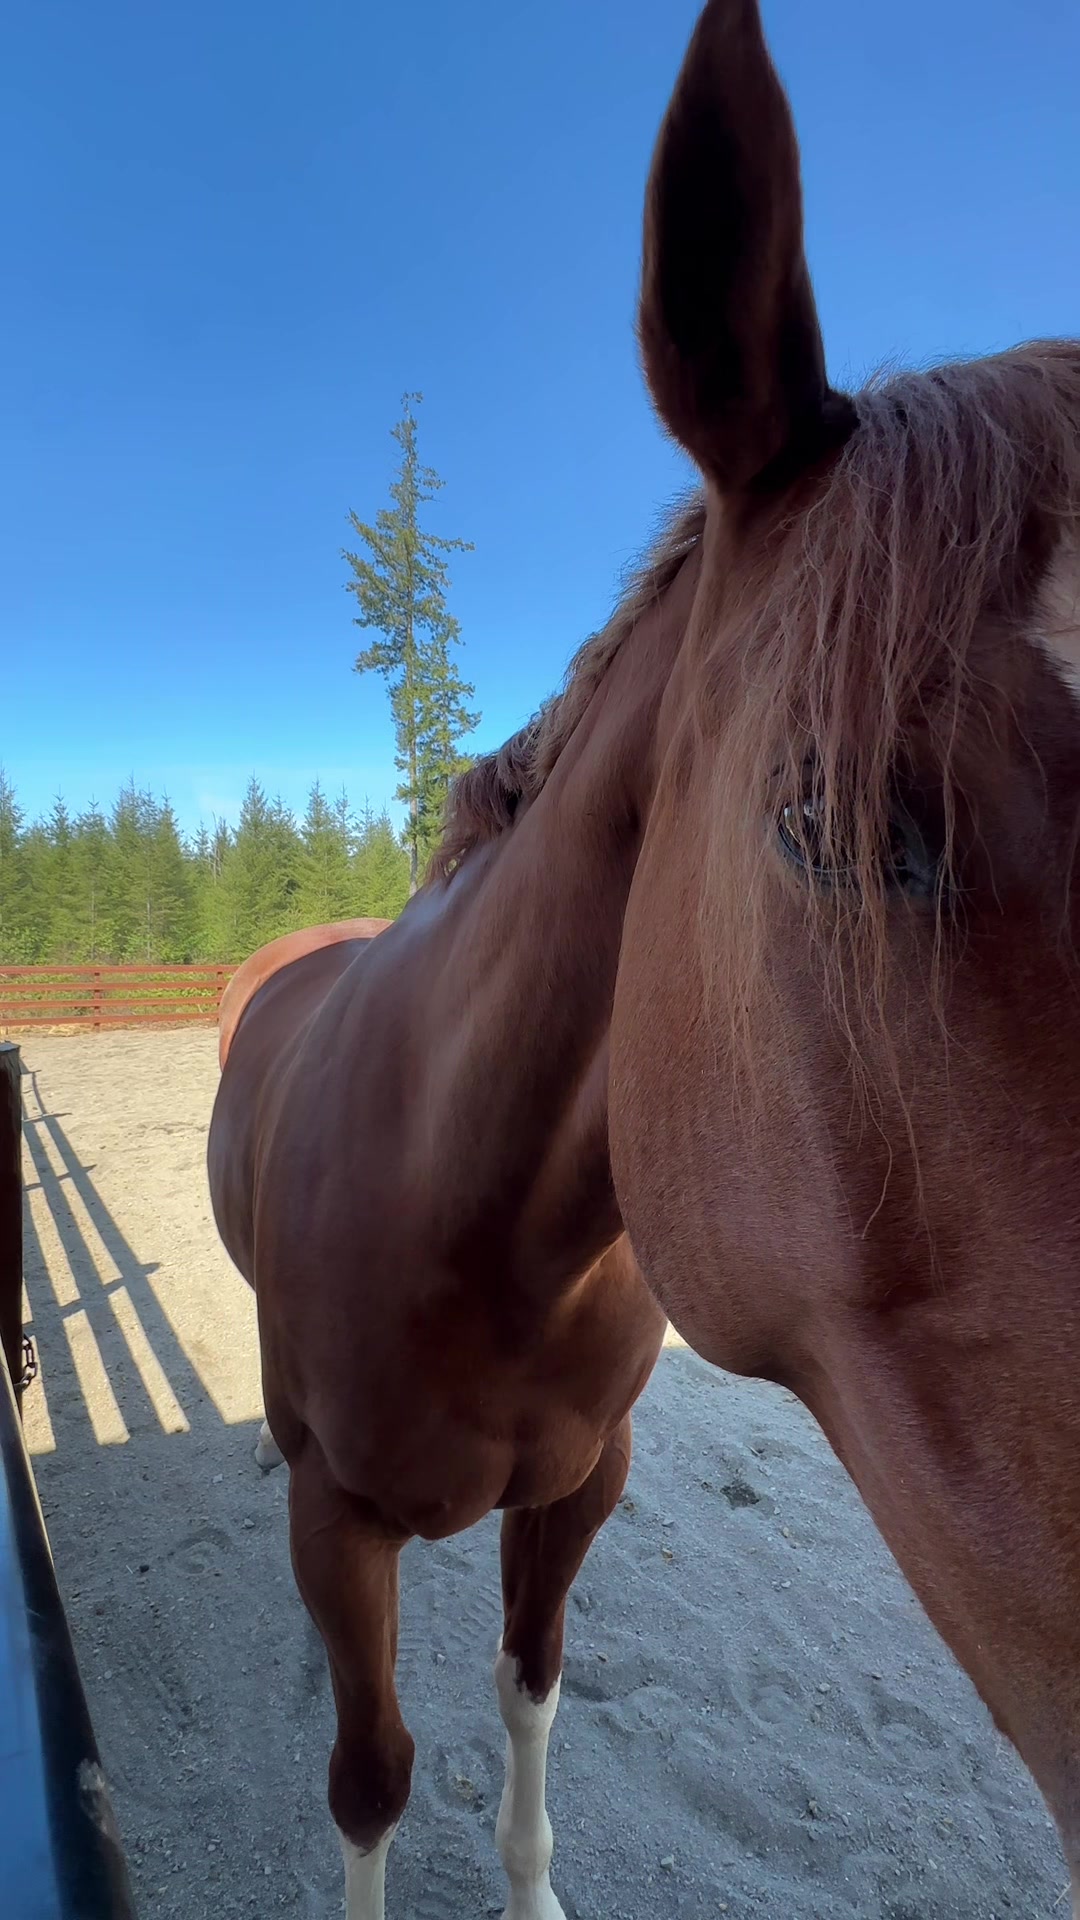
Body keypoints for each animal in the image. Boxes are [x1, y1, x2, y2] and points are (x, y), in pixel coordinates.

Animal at [209, 0, 1080, 1911]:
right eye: (825, 823)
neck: (472, 1210)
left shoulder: (576, 1492)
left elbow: (531, 1692)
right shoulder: (344, 1522)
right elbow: (372, 1776)